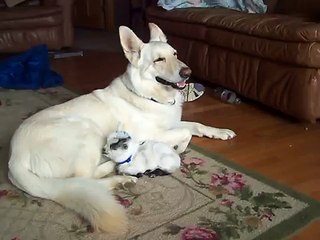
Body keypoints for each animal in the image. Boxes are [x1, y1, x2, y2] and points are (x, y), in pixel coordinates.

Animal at [7, 23, 235, 233]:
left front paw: (221, 132)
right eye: (158, 60)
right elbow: (185, 133)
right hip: (87, 131)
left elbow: (196, 125)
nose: (188, 72)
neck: (148, 95)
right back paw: (118, 176)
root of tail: (14, 158)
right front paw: (179, 148)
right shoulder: (152, 134)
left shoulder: (171, 123)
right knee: (85, 180)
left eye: (175, 54)